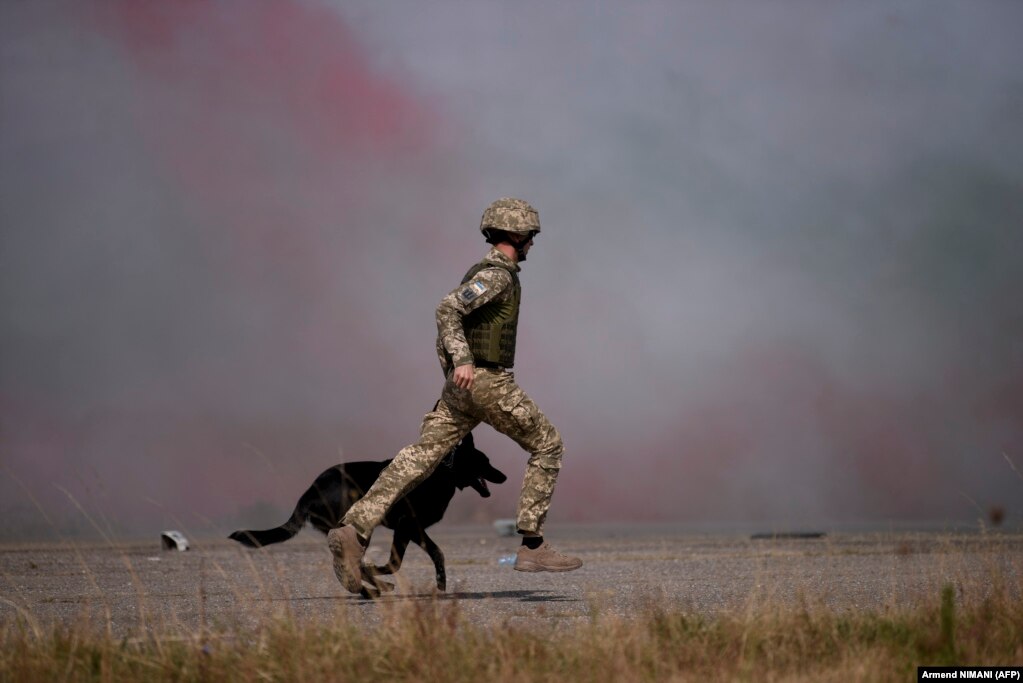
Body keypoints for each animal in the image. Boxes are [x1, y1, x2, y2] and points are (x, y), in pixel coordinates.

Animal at [230, 435, 505, 593]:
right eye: (485, 461)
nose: (504, 476)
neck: (445, 470)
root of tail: (308, 493)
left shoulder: (411, 529)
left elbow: (426, 555)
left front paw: (440, 581)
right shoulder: (407, 525)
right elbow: (398, 561)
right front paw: (381, 571)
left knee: (351, 564)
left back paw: (373, 587)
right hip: (360, 526)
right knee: (351, 563)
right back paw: (370, 587)